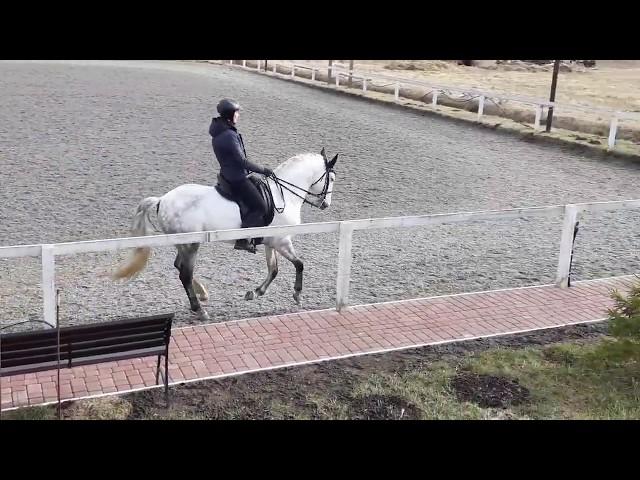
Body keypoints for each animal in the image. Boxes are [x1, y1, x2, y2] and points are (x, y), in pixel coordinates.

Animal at [112, 146, 338, 318]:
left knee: (179, 267)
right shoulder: (282, 241)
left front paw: (255, 292)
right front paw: (297, 295)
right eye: (333, 179)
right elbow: (299, 264)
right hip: (191, 244)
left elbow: (273, 270)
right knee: (185, 273)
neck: (283, 195)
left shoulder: (271, 242)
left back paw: (202, 294)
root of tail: (162, 200)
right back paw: (199, 310)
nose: (325, 204)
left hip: (183, 243)